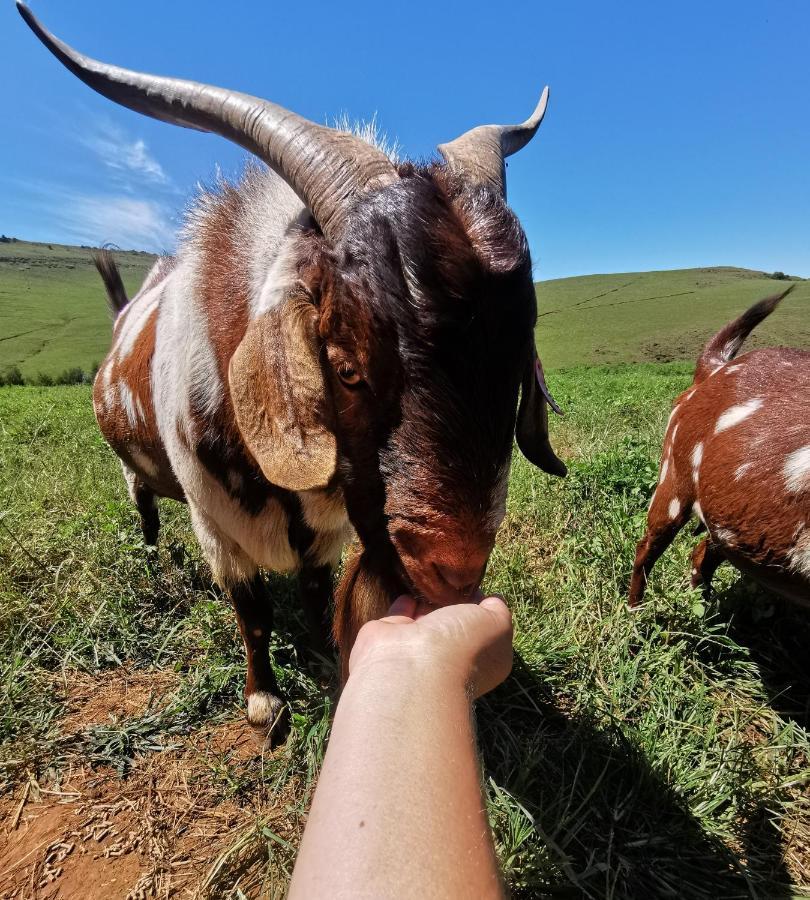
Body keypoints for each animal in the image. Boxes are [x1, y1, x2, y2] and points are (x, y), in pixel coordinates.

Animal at [17, 3, 560, 728]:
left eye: (516, 364)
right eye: (348, 367)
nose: (453, 572)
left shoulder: (328, 536)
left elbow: (312, 593)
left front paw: (331, 666)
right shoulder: (217, 528)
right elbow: (252, 611)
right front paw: (263, 699)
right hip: (134, 470)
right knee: (145, 509)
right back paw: (154, 561)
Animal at [632, 288, 808, 604]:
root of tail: (715, 369)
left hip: (731, 525)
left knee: (701, 553)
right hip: (672, 486)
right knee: (646, 550)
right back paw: (635, 611)